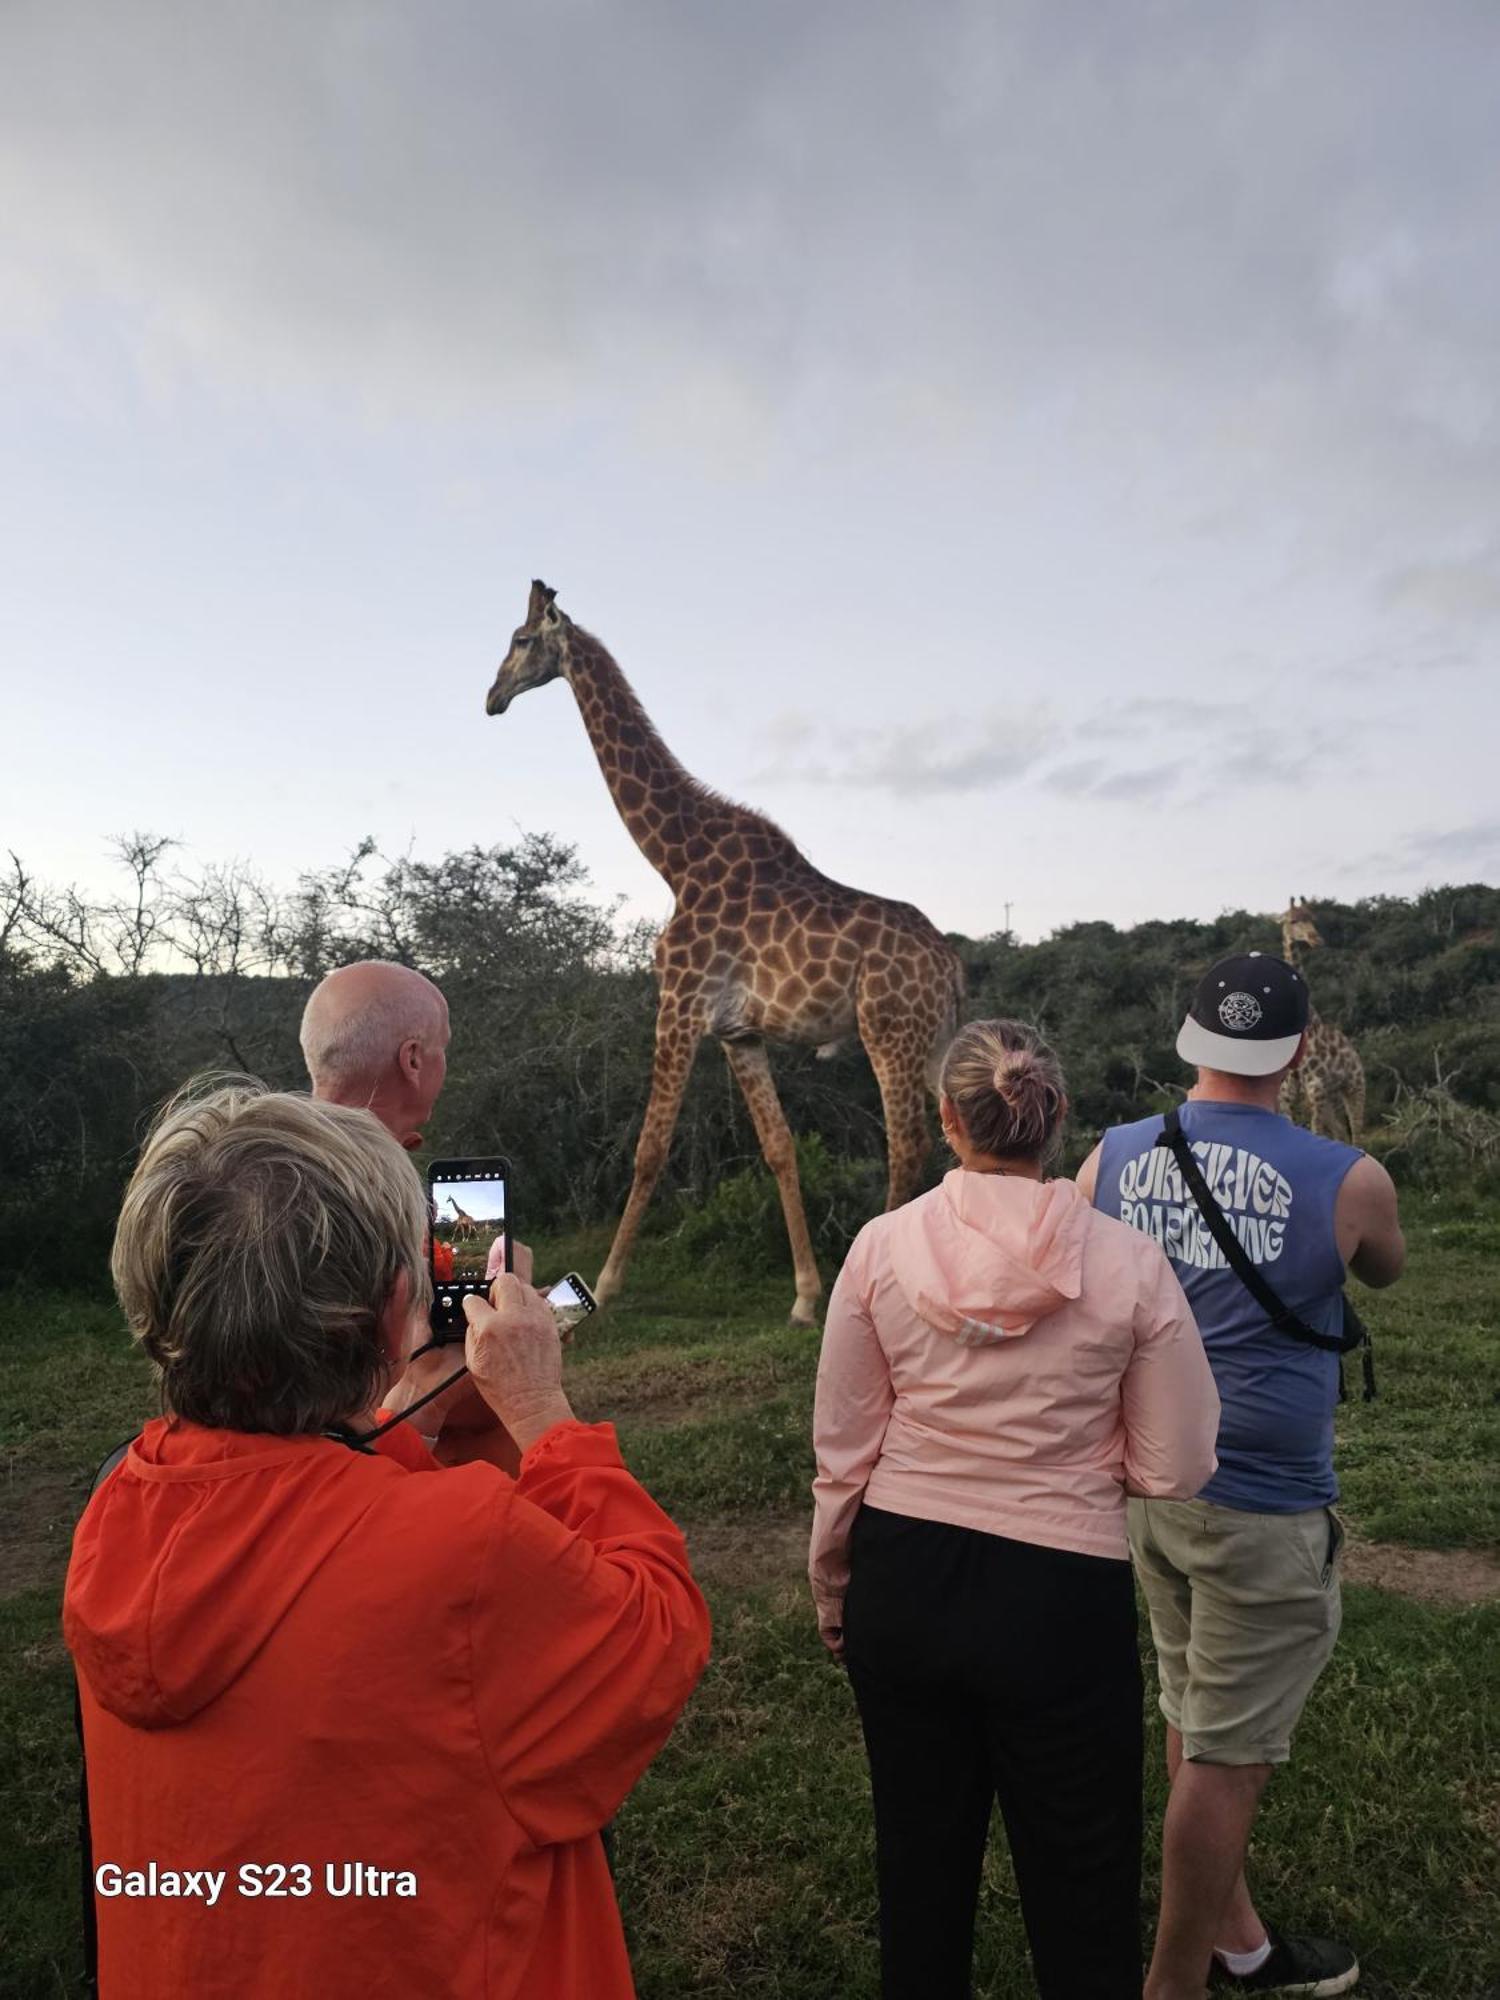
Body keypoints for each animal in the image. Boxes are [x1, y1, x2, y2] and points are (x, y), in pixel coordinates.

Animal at [488, 580, 968, 1328]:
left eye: (520, 639)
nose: (492, 697)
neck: (675, 859)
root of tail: (948, 967)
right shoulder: (738, 1032)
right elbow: (779, 1150)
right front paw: (803, 1295)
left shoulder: (680, 1004)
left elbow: (649, 1149)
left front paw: (609, 1283)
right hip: (932, 1037)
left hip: (889, 1031)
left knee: (907, 1151)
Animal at [1272, 904, 1368, 1144]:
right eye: (1292, 921)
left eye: (1312, 918)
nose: (1316, 939)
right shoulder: (1293, 1094)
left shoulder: (1316, 1088)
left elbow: (1317, 1131)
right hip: (1331, 1095)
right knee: (1341, 1132)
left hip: (1354, 1085)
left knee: (1356, 1132)